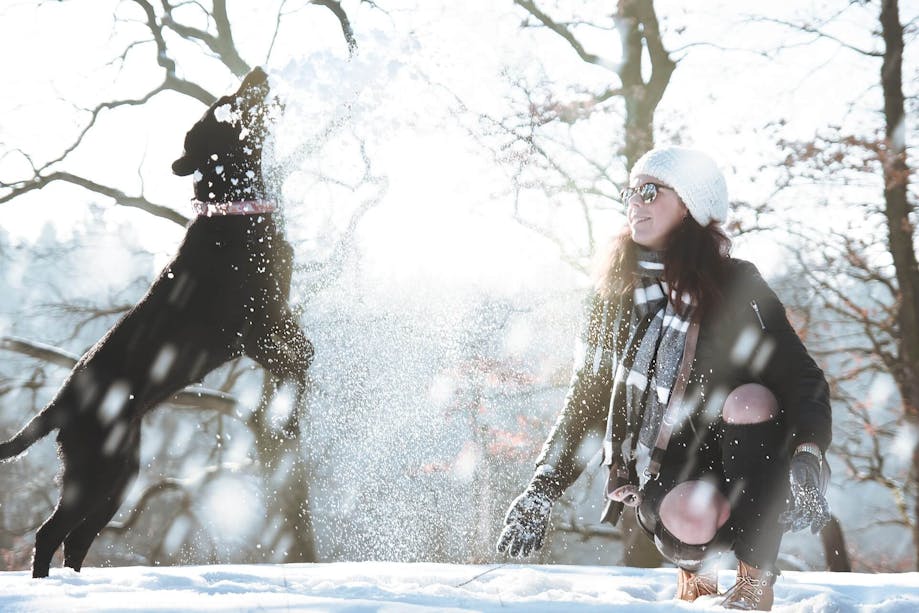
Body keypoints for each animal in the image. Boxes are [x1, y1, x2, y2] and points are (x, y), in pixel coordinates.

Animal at [0, 68, 312, 580]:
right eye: (224, 105)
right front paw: (289, 413)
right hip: (96, 471)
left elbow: (305, 352)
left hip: (120, 474)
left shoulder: (278, 316)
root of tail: (59, 403)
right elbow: (297, 362)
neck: (234, 211)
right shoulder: (252, 329)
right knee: (49, 535)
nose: (257, 73)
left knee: (76, 539)